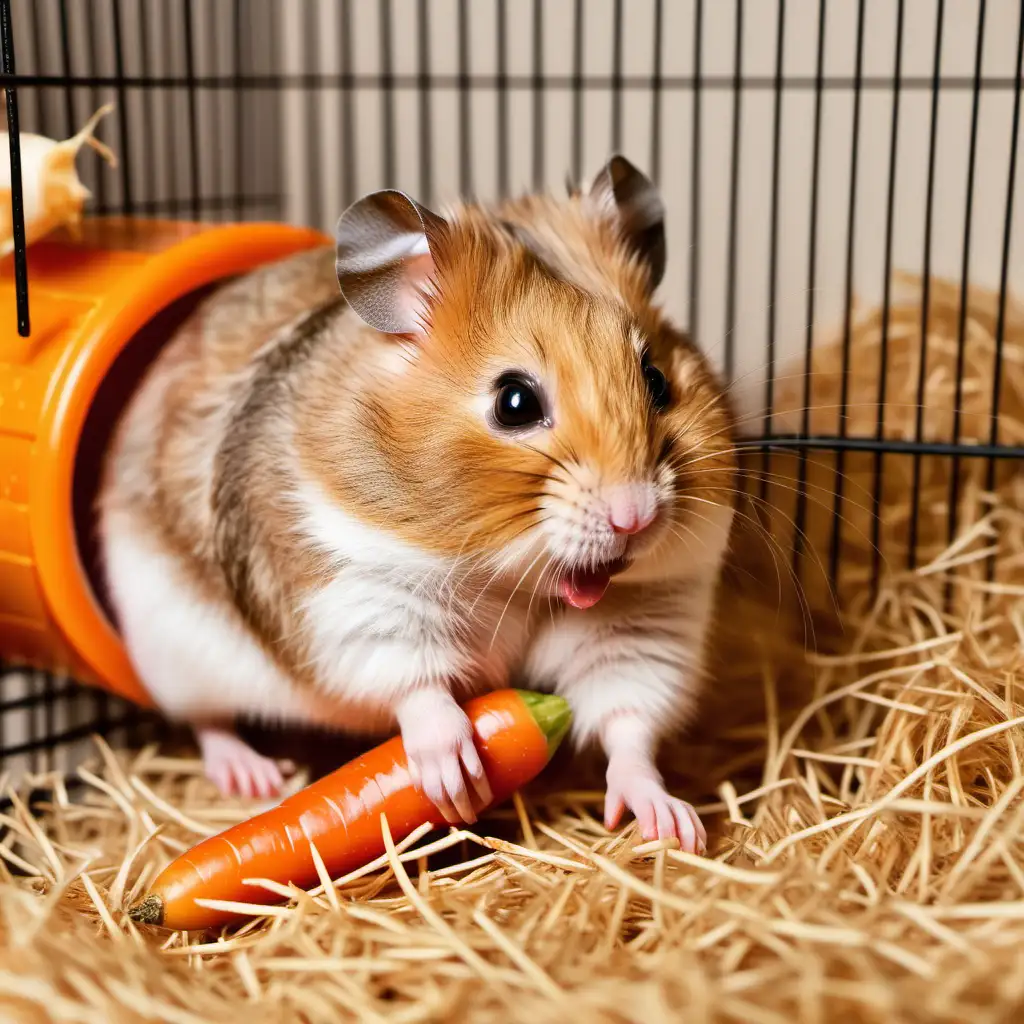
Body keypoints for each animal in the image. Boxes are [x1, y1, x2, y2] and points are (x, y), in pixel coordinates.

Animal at [97, 155, 737, 851]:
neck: (512, 580)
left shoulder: (645, 617)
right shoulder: (356, 591)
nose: (636, 516)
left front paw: (674, 828)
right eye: (515, 402)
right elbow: (418, 683)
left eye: (657, 380)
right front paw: (457, 780)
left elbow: (628, 721)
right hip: (174, 650)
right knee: (208, 721)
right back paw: (254, 775)